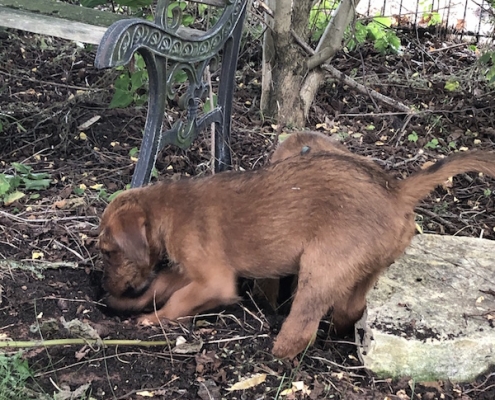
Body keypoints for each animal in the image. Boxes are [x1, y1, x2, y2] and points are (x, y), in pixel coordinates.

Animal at [99, 148, 495, 360]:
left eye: (108, 253)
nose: (107, 289)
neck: (168, 209)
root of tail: (396, 190)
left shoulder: (213, 280)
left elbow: (177, 300)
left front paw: (152, 320)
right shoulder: (187, 270)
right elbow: (160, 285)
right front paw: (129, 306)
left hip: (321, 266)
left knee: (303, 326)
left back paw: (274, 354)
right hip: (362, 268)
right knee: (349, 308)